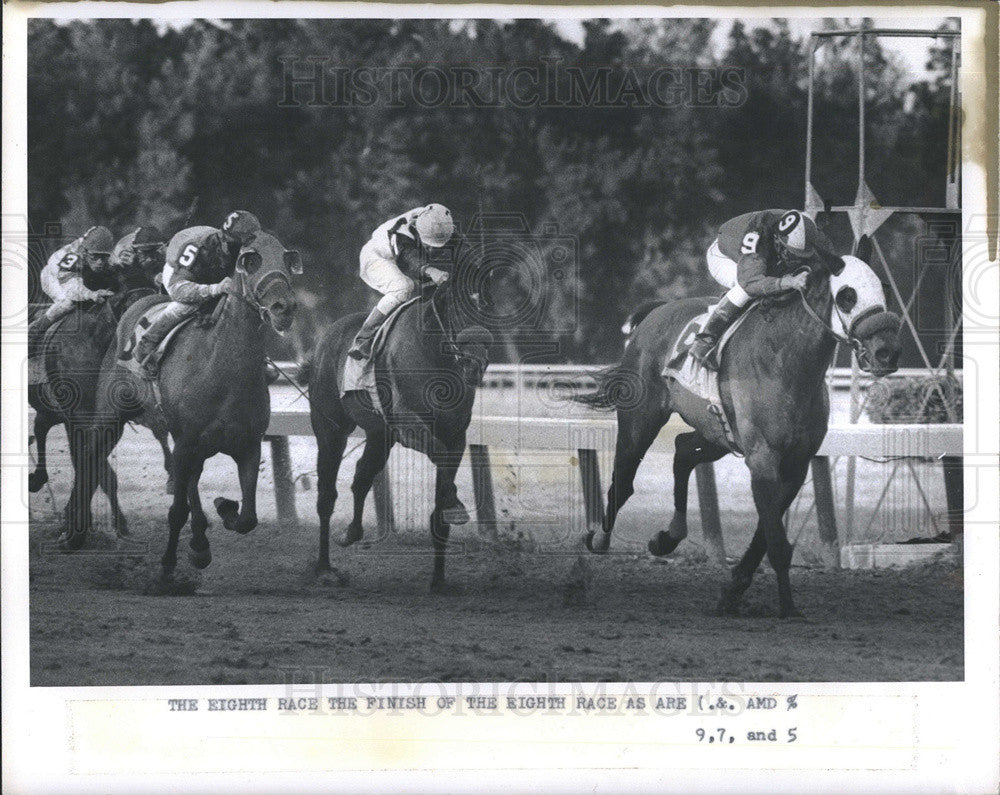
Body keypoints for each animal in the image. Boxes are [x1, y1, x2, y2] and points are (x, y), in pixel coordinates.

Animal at [28, 266, 174, 536]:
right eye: (127, 301)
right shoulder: (79, 417)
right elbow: (93, 466)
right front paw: (76, 520)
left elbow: (100, 471)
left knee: (41, 426)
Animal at [60, 230, 296, 580]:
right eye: (251, 260)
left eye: (287, 259)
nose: (285, 307)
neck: (223, 369)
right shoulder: (187, 443)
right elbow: (176, 511)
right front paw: (168, 565)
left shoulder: (247, 446)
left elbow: (247, 518)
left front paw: (223, 509)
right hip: (110, 416)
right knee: (91, 455)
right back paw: (73, 533)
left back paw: (199, 542)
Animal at [302, 274, 494, 592]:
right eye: (457, 309)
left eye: (487, 309)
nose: (475, 363)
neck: (433, 354)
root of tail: (324, 339)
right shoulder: (407, 424)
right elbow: (438, 453)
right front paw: (455, 505)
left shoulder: (456, 434)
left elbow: (440, 500)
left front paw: (439, 579)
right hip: (331, 429)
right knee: (326, 495)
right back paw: (324, 569)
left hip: (379, 435)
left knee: (361, 476)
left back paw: (352, 532)